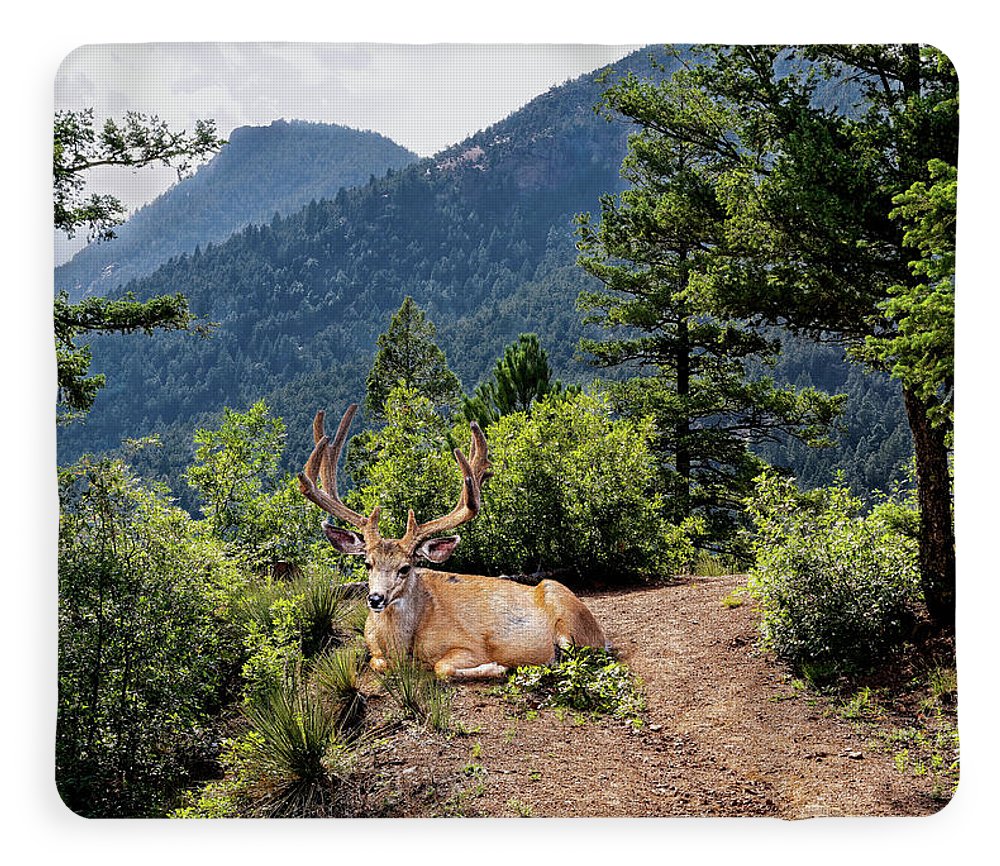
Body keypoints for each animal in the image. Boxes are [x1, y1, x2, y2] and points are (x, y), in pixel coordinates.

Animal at [296, 402, 604, 680]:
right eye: (367, 563)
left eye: (406, 568)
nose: (375, 598)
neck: (401, 647)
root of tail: (599, 631)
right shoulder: (375, 650)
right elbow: (377, 663)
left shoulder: (469, 645)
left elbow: (441, 668)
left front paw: (497, 667)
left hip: (568, 615)